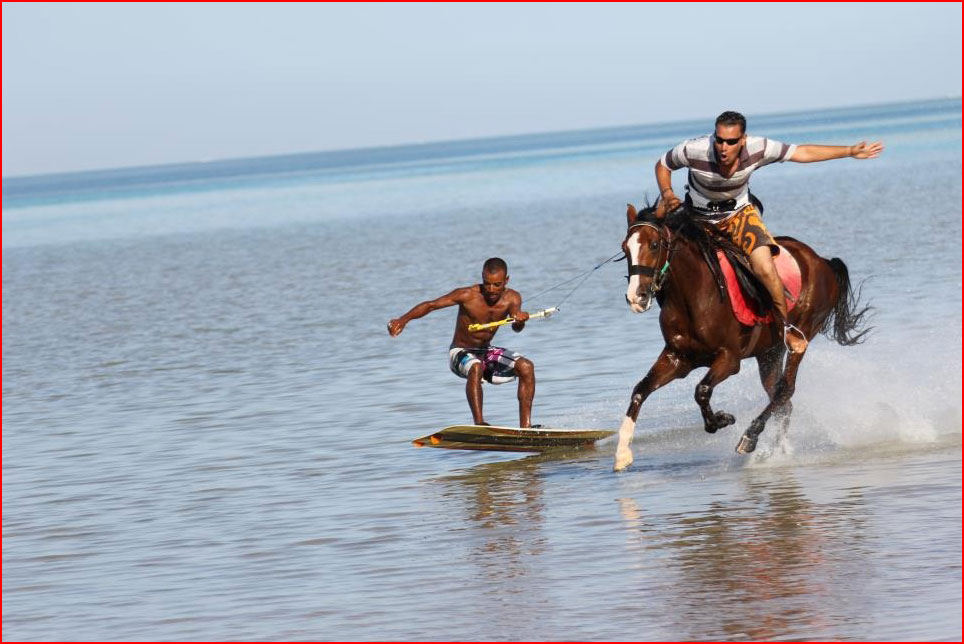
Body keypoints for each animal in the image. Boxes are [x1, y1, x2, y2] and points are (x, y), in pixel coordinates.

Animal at [616, 204, 872, 470]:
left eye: (654, 245)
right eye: (625, 248)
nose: (636, 297)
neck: (693, 296)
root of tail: (823, 261)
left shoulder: (729, 359)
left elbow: (702, 390)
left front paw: (722, 419)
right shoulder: (678, 358)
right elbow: (640, 390)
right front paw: (622, 453)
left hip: (801, 335)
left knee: (785, 390)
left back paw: (750, 437)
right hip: (769, 351)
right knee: (783, 401)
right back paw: (776, 450)